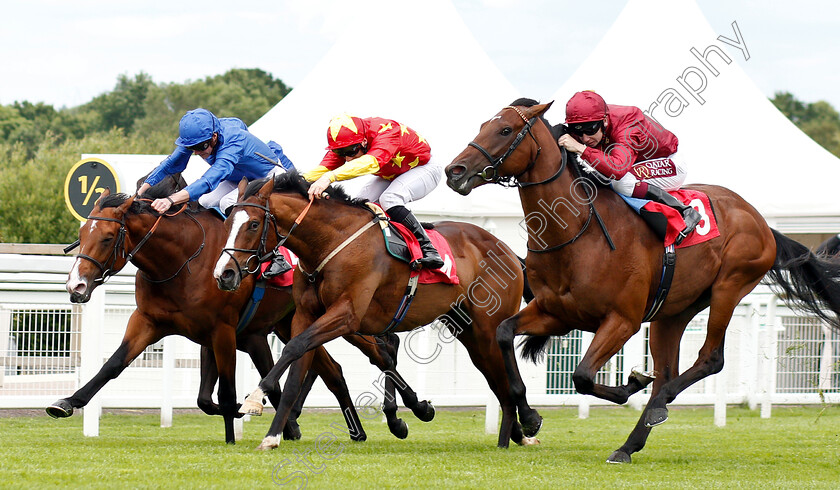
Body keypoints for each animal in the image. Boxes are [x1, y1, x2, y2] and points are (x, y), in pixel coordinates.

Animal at [55, 180, 434, 444]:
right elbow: (116, 365)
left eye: (106, 237)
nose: (76, 286)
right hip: (293, 324)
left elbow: (225, 393)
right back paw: (355, 430)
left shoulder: (223, 330)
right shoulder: (155, 322)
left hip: (348, 315)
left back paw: (406, 413)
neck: (183, 261)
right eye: (81, 234)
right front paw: (68, 402)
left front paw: (237, 434)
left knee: (382, 352)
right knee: (334, 371)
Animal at [215, 173, 532, 452]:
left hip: (487, 327)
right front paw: (272, 436)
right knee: (492, 375)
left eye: (253, 224)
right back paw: (517, 431)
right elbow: (295, 370)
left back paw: (522, 427)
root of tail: (507, 250)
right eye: (228, 222)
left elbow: (295, 348)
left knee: (502, 374)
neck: (329, 243)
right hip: (466, 330)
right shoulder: (305, 316)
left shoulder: (347, 314)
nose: (224, 274)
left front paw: (255, 398)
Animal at [442, 98, 840, 464]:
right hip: (673, 312)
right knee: (667, 372)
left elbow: (582, 375)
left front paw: (630, 383)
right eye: (483, 125)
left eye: (505, 130)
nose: (454, 170)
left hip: (730, 286)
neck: (575, 232)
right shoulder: (556, 312)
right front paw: (530, 417)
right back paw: (629, 444)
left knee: (709, 359)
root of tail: (761, 222)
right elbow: (504, 333)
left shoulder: (623, 320)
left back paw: (657, 406)